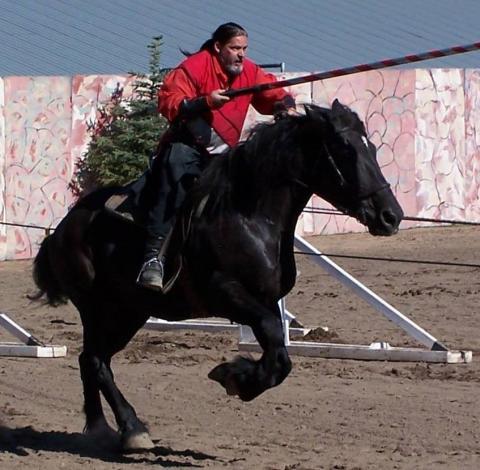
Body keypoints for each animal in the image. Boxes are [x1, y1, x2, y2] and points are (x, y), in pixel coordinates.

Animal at [31, 99, 404, 452]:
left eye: (371, 147)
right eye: (345, 149)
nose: (391, 215)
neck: (247, 213)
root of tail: (63, 228)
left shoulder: (264, 300)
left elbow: (278, 354)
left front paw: (239, 376)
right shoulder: (227, 294)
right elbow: (274, 344)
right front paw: (234, 376)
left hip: (130, 312)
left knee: (92, 360)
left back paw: (105, 428)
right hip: (99, 310)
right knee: (95, 361)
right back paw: (131, 429)